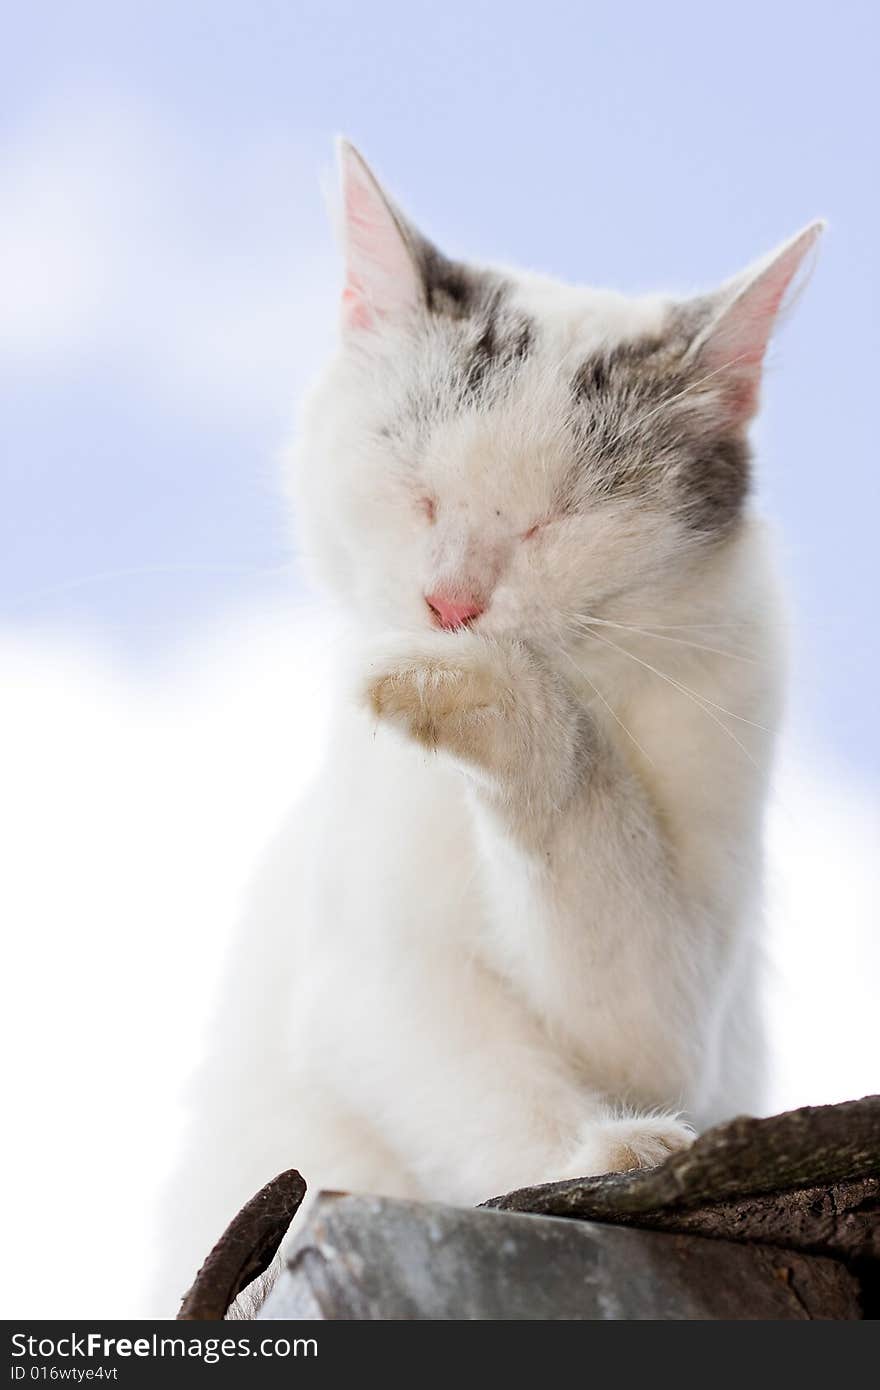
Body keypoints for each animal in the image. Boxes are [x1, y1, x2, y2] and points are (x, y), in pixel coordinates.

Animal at [156, 143, 817, 1312]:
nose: (452, 604)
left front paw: (485, 695)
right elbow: (464, 1071)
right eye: (418, 494)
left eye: (556, 521)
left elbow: (620, 968)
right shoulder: (366, 978)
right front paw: (588, 1150)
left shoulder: (682, 1025)